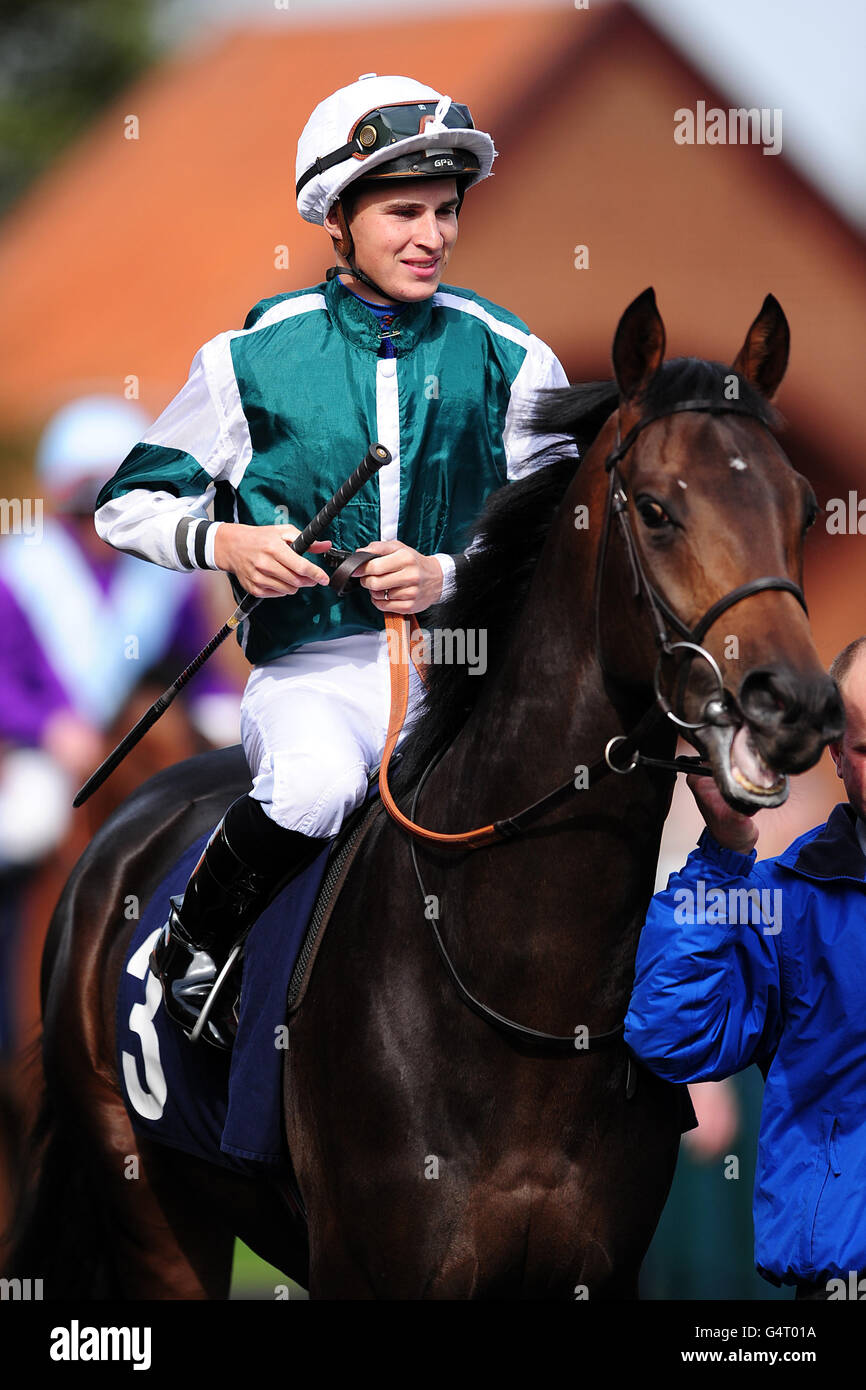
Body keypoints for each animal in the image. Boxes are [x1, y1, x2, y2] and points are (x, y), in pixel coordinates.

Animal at [8, 287, 845, 1295]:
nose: (793, 703)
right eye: (655, 509)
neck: (526, 1006)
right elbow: (140, 495)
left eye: (803, 506)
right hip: (151, 1207)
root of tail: (125, 821)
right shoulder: (372, 1266)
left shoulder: (597, 1269)